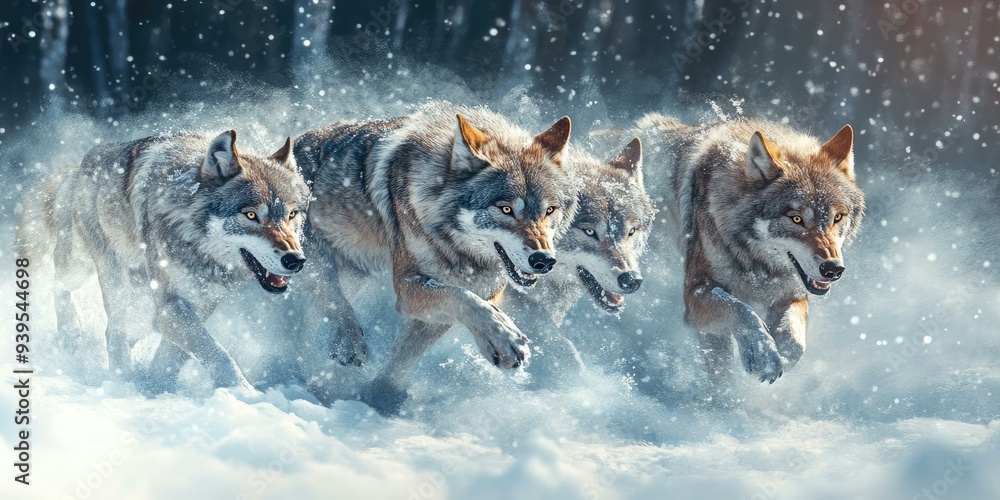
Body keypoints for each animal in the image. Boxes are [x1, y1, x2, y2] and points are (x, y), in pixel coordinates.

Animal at [16, 130, 310, 390]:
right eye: (251, 215)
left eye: (291, 215)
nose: (295, 260)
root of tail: (78, 168)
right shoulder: (170, 307)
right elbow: (218, 354)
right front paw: (245, 393)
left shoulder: (197, 305)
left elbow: (173, 358)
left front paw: (155, 386)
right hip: (92, 272)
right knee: (71, 296)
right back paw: (87, 347)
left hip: (137, 299)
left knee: (123, 332)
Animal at [292, 105, 578, 412]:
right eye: (506, 209)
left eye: (549, 210)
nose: (544, 260)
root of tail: (291, 144)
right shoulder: (408, 286)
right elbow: (463, 299)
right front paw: (504, 340)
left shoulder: (461, 297)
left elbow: (404, 358)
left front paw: (379, 396)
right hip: (318, 266)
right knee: (330, 306)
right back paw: (337, 352)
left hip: (354, 275)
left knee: (313, 316)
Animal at [633, 114, 864, 385]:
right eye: (796, 218)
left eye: (837, 217)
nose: (832, 269)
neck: (758, 265)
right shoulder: (696, 292)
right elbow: (741, 309)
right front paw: (763, 355)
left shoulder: (793, 293)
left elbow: (795, 341)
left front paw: (781, 351)